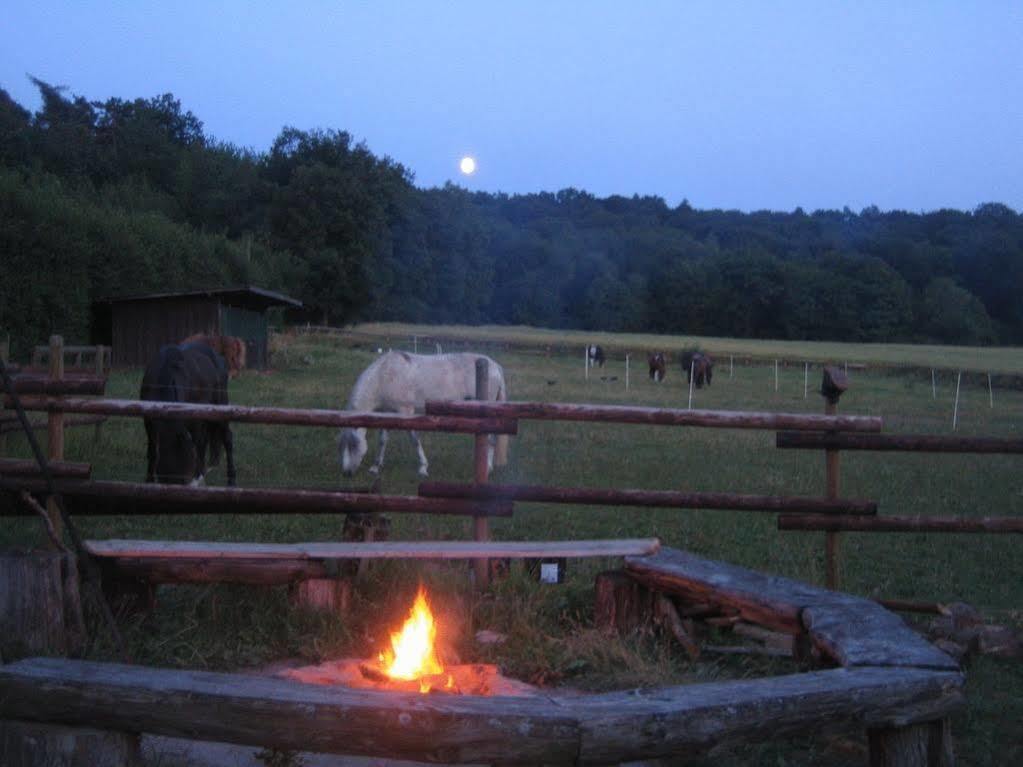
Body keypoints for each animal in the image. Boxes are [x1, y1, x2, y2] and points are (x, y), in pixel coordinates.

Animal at [141, 341, 236, 486]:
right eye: (165, 479)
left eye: (184, 478)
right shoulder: (148, 420)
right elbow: (152, 450)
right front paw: (149, 481)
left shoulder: (194, 418)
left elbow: (198, 444)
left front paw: (197, 478)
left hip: (220, 405)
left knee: (226, 437)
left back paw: (231, 480)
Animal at [337, 351, 509, 478]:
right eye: (341, 445)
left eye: (354, 444)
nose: (346, 473)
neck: (385, 375)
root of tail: (495, 366)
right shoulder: (387, 413)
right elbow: (383, 440)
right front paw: (376, 467)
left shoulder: (405, 412)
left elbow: (414, 439)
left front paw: (423, 468)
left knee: (491, 438)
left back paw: (487, 468)